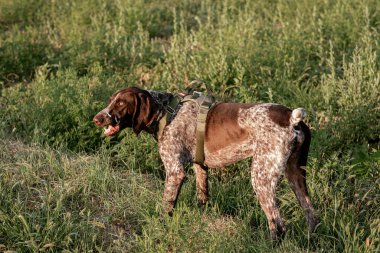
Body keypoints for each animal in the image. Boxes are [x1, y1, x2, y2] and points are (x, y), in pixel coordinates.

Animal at [93, 86, 320, 239]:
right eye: (111, 100)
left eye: (121, 103)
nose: (97, 118)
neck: (166, 112)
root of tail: (292, 119)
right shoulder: (199, 166)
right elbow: (202, 197)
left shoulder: (175, 172)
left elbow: (167, 205)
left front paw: (159, 227)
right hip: (295, 175)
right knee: (312, 215)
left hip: (261, 177)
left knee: (278, 226)